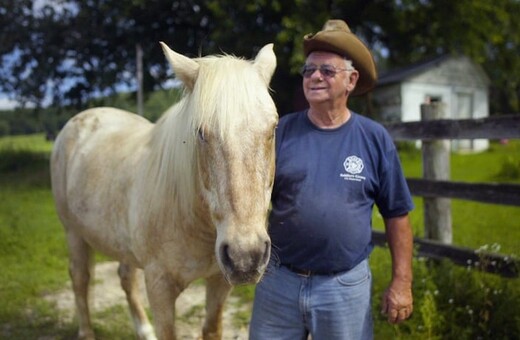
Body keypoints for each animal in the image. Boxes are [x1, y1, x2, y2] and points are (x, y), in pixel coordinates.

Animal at [50, 43, 278, 340]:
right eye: (201, 133)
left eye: (273, 128)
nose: (246, 257)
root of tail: (81, 118)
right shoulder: (160, 287)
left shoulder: (219, 281)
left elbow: (211, 329)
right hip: (73, 233)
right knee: (80, 279)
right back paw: (87, 332)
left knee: (125, 277)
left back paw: (144, 330)